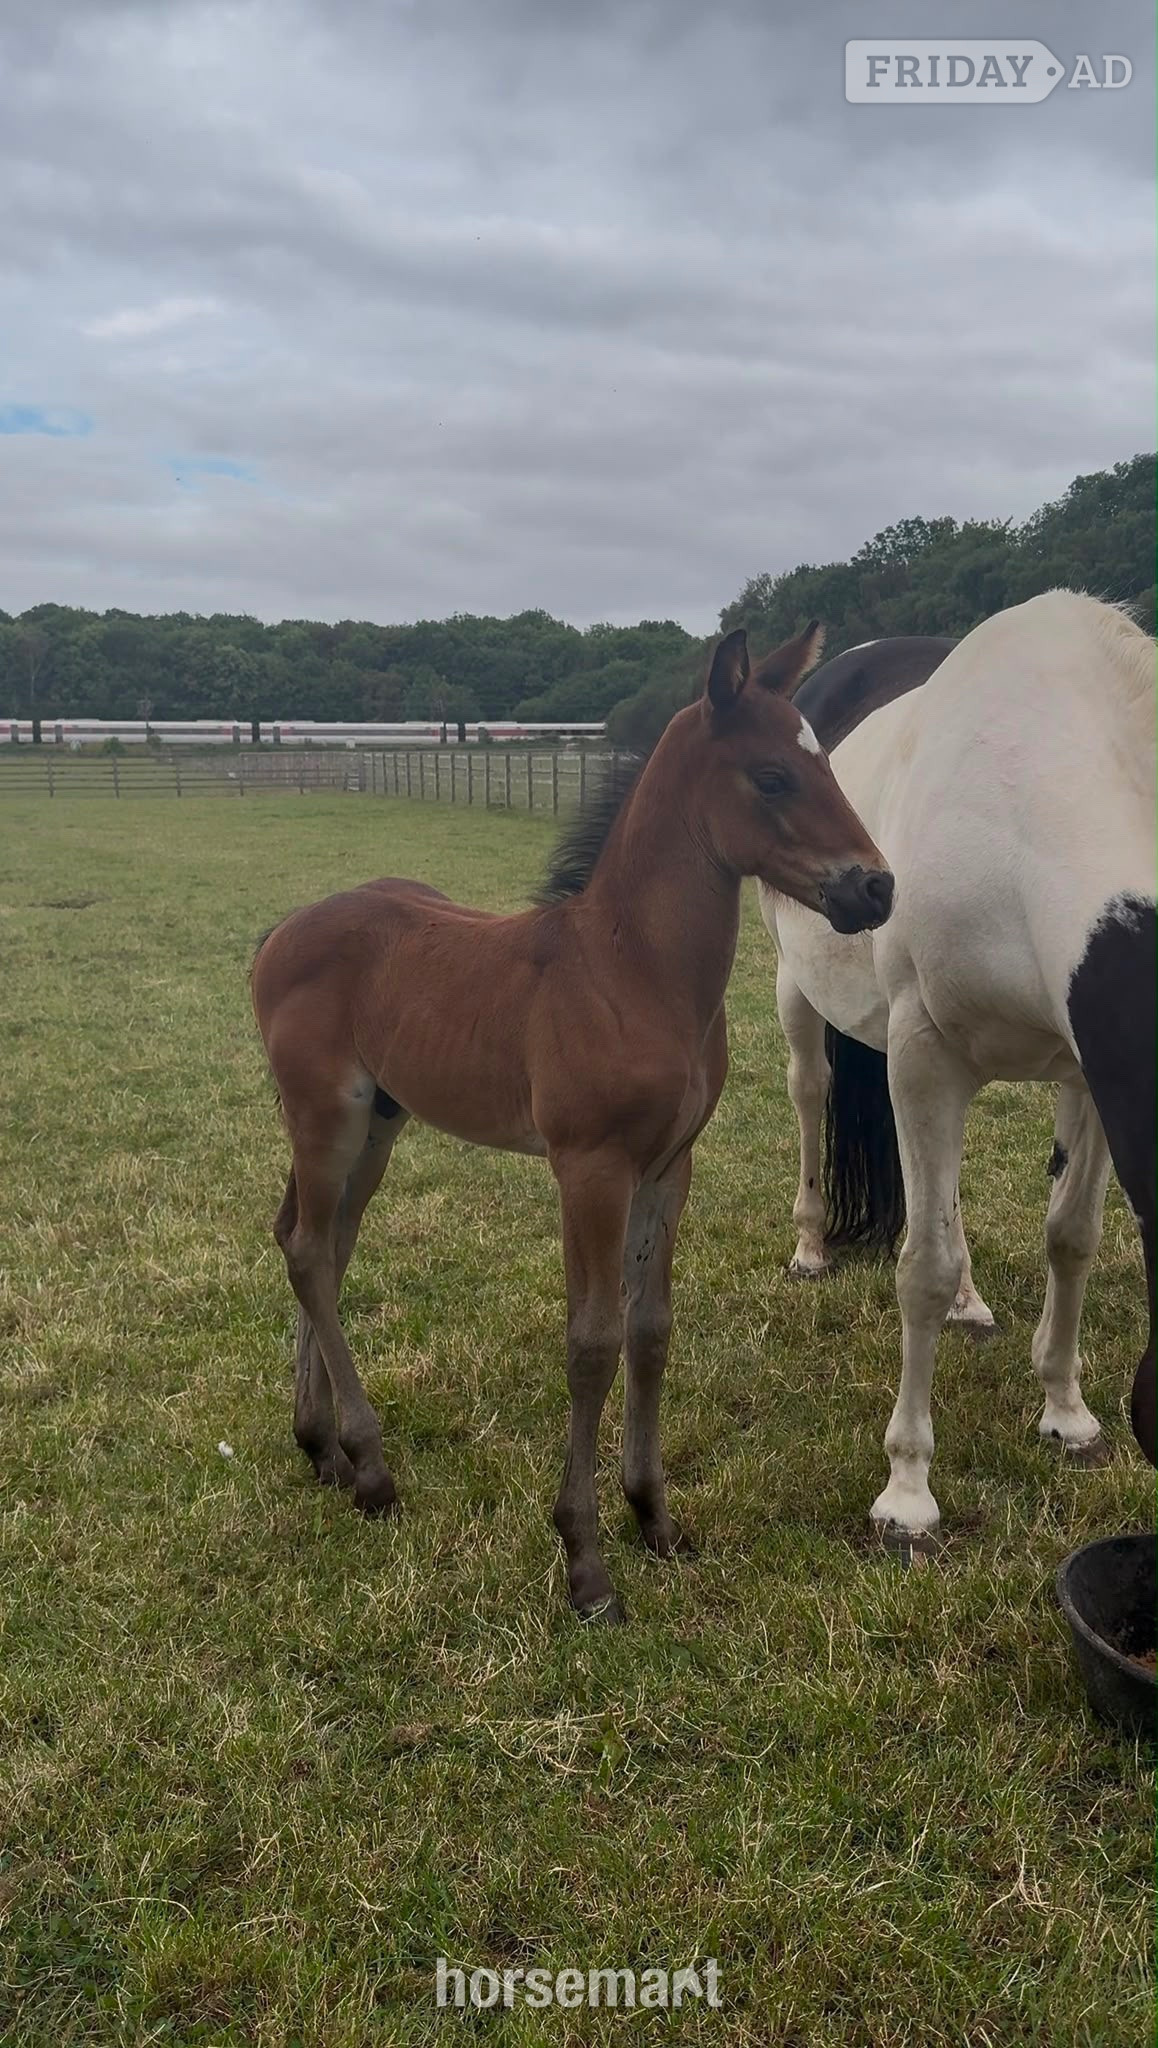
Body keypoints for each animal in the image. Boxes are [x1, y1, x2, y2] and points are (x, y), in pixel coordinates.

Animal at [252, 621, 896, 1623]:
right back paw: (371, 1468)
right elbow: (592, 1341)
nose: (875, 890)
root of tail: (279, 934)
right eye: (771, 777)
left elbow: (651, 1328)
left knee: (314, 1243)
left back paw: (322, 1447)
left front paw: (654, 1517)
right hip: (328, 1119)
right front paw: (586, 1562)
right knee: (313, 1253)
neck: (632, 971)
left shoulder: (669, 1166)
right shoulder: (589, 1168)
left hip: (379, 1128)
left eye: (822, 762)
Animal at [761, 592, 1156, 1538]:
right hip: (801, 992)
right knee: (810, 1094)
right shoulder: (924, 1056)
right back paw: (811, 1247)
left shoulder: (1088, 1077)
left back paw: (976, 1305)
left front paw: (1066, 1413)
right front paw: (907, 1491)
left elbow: (1071, 1238)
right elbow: (922, 1270)